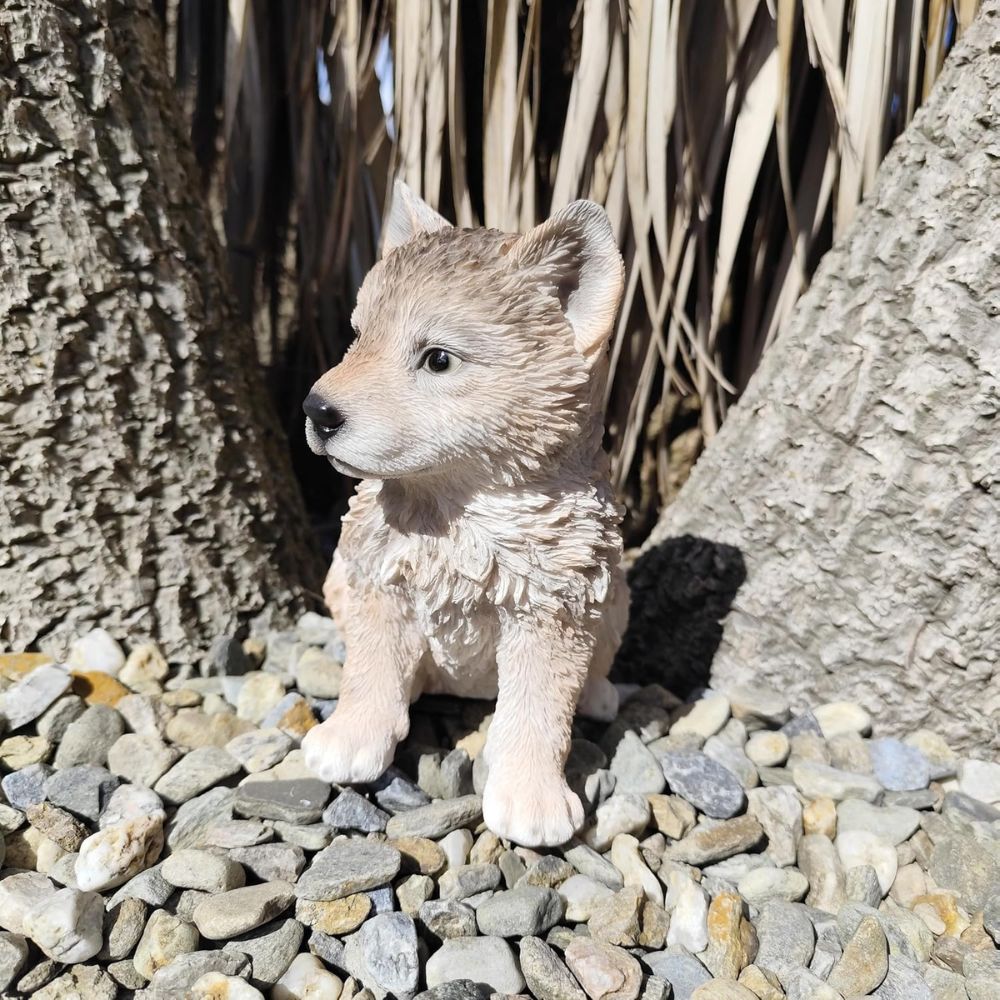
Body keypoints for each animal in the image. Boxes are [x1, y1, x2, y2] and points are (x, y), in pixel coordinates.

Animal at [301, 181, 628, 847]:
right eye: (358, 336)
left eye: (438, 360)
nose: (316, 410)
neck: (458, 516)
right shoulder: (379, 584)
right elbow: (369, 672)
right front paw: (351, 738)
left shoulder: (556, 611)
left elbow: (538, 710)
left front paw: (530, 797)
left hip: (619, 597)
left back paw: (599, 694)